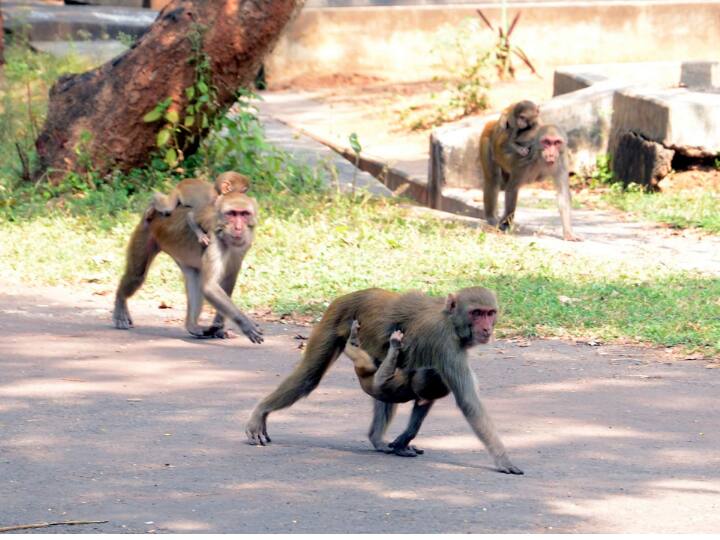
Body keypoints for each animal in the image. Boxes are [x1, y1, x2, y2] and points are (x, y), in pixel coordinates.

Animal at [114, 190, 264, 342]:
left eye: (244, 214)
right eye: (232, 213)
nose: (238, 228)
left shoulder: (243, 247)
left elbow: (228, 280)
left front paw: (219, 328)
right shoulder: (214, 241)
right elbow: (209, 287)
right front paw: (245, 324)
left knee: (195, 278)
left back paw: (192, 326)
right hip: (145, 232)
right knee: (136, 276)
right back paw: (120, 303)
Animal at [248, 284, 524, 474]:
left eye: (490, 313)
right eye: (477, 313)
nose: (487, 328)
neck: (450, 320)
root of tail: (353, 294)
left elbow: (426, 397)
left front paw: (402, 441)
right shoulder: (446, 344)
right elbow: (468, 402)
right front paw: (503, 458)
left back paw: (376, 438)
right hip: (336, 318)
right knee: (310, 376)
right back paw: (261, 411)